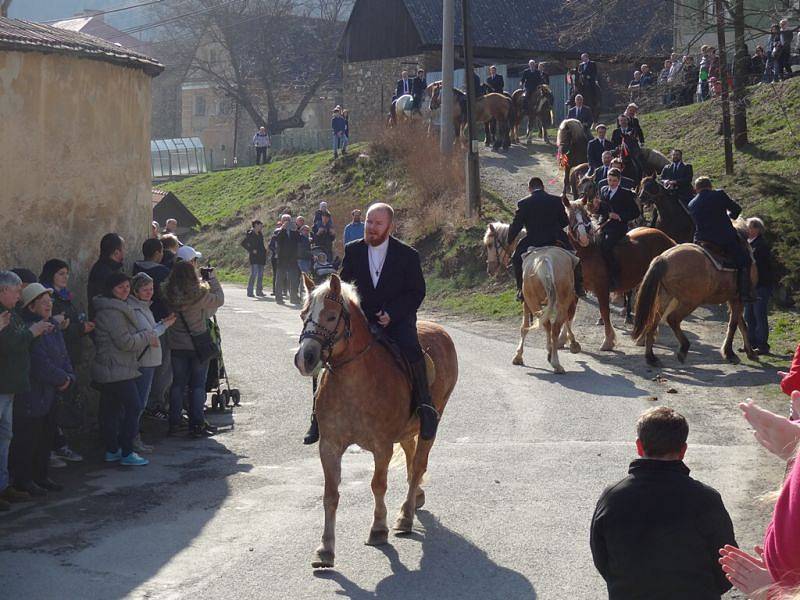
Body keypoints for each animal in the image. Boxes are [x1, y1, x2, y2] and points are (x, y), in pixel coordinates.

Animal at [296, 274, 460, 568]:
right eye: (304, 315)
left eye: (331, 316)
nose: (306, 358)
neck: (354, 381)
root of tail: (440, 330)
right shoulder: (329, 446)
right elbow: (330, 494)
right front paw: (325, 549)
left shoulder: (382, 446)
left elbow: (378, 484)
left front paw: (378, 529)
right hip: (407, 431)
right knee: (411, 459)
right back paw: (415, 499)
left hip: (431, 424)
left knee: (418, 465)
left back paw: (405, 517)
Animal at [482, 223, 580, 372]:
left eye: (490, 245)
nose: (490, 270)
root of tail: (545, 260)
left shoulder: (526, 302)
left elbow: (524, 327)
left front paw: (518, 356)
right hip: (556, 301)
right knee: (554, 326)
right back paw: (555, 360)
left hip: (535, 301)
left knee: (550, 325)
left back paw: (554, 359)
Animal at [564, 199, 676, 352]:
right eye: (570, 217)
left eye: (586, 215)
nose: (583, 237)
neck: (588, 252)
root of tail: (668, 239)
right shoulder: (577, 288)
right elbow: (570, 313)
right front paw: (564, 340)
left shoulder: (601, 288)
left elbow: (604, 312)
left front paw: (608, 341)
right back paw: (644, 337)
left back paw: (643, 337)